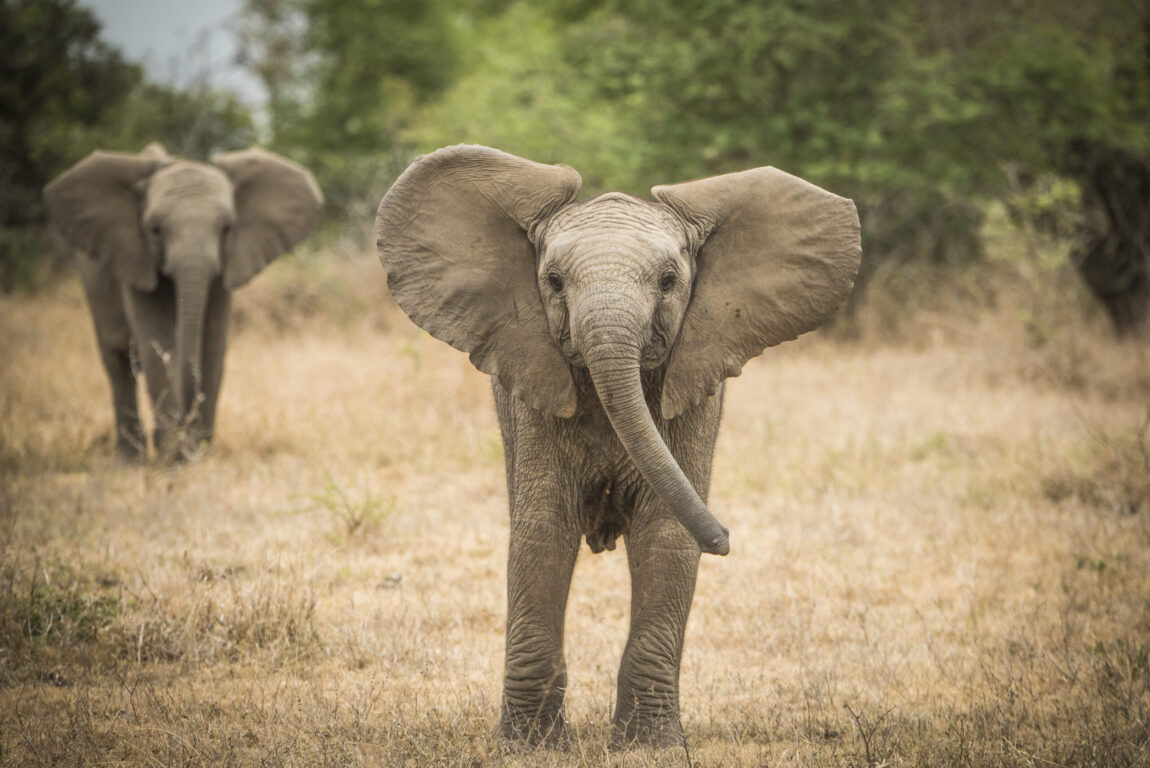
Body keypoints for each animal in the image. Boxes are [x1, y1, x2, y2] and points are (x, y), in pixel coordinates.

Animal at [44, 143, 323, 461]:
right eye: (154, 229)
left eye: (227, 228)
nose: (187, 428)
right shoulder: (135, 257)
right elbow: (158, 342)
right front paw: (174, 456)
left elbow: (211, 345)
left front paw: (197, 451)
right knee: (117, 359)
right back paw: (131, 460)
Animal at [376, 145, 861, 748]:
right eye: (554, 281)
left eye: (669, 281)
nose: (724, 540)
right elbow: (543, 530)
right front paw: (528, 746)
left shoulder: (692, 393)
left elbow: (666, 537)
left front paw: (652, 745)